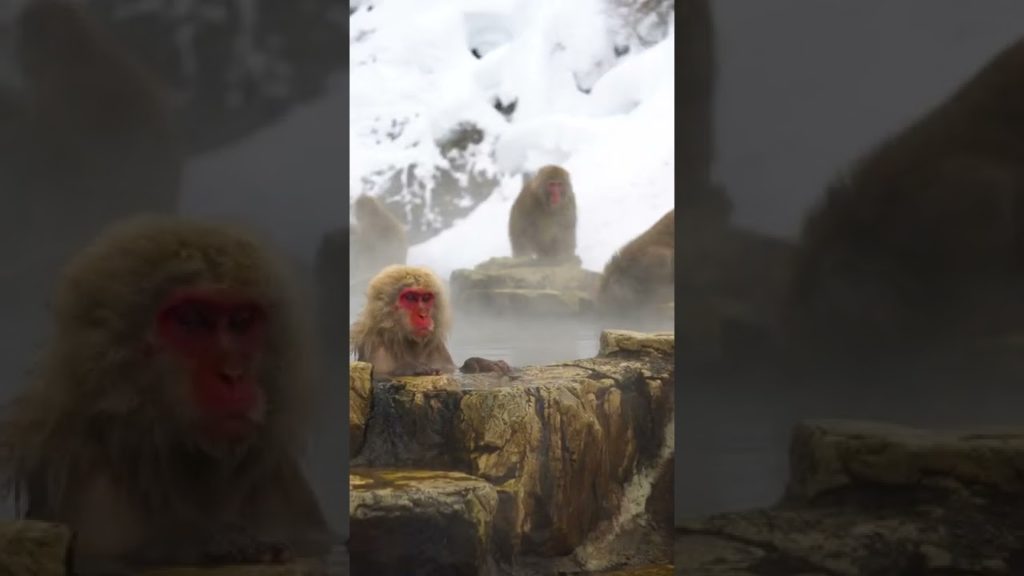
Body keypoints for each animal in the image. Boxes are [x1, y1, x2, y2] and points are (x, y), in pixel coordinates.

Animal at [0, 216, 336, 570]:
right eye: (190, 320)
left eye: (241, 321)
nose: (233, 375)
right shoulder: (94, 491)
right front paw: (224, 544)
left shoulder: (281, 479)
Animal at [351, 265, 512, 379]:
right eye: (410, 297)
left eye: (426, 298)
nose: (423, 314)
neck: (406, 341)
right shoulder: (379, 349)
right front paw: (411, 368)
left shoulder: (437, 347)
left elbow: (453, 370)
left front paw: (480, 363)